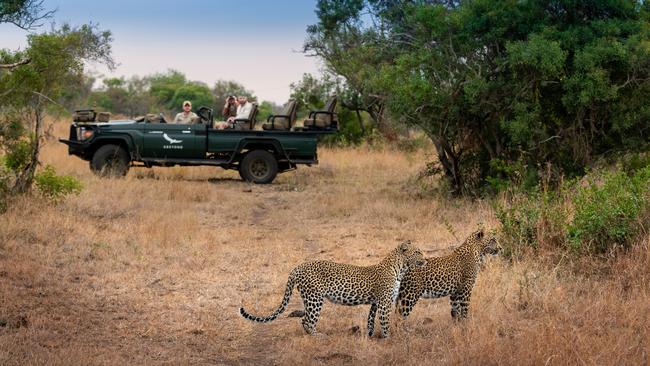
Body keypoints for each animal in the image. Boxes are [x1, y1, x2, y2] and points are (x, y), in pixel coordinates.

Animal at [238, 242, 426, 338]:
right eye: (418, 252)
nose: (425, 260)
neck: (400, 269)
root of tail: (297, 268)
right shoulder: (385, 302)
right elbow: (385, 321)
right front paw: (388, 338)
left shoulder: (376, 302)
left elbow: (371, 320)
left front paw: (370, 335)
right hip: (315, 298)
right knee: (308, 320)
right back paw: (317, 336)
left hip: (309, 298)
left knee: (304, 319)